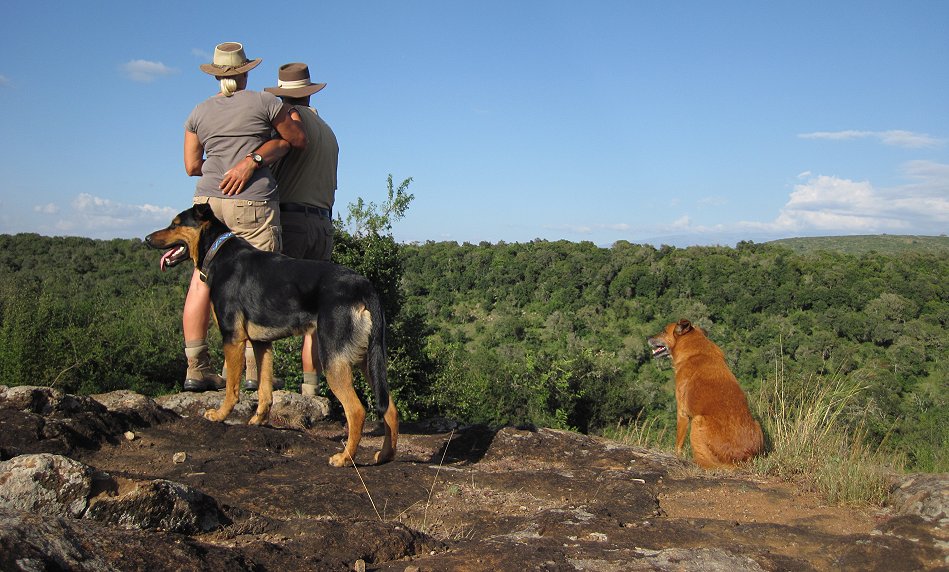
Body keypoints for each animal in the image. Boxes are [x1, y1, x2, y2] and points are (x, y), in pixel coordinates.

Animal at [146, 203, 398, 466]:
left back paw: (344, 458)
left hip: (334, 358)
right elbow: (264, 389)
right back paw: (385, 455)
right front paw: (258, 421)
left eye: (175, 224)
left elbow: (232, 388)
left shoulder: (232, 338)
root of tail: (364, 286)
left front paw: (220, 415)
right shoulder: (261, 343)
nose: (146, 239)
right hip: (367, 359)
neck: (218, 250)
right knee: (389, 407)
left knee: (356, 410)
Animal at [644, 320, 764, 466]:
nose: (647, 337)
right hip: (757, 424)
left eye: (663, 331)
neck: (694, 350)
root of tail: (743, 457)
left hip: (697, 421)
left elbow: (678, 442)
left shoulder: (682, 413)